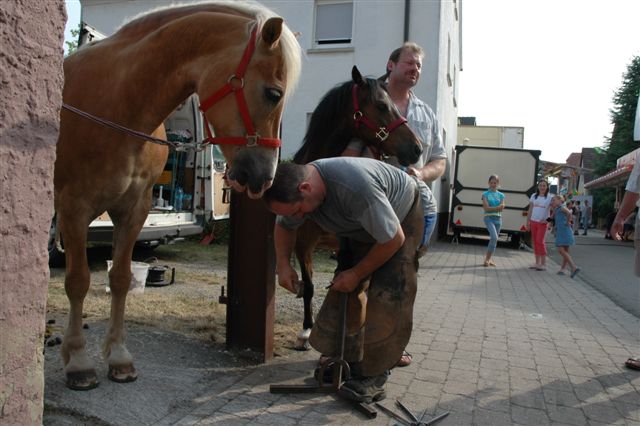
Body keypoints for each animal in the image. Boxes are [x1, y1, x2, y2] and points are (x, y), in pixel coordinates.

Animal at [56, 1, 302, 392]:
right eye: (273, 93)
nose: (264, 178)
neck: (117, 102)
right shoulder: (73, 209)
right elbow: (77, 281)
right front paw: (78, 360)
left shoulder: (135, 210)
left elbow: (121, 279)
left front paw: (119, 357)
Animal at [288, 65, 420, 350]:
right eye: (382, 105)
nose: (416, 148)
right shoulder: (303, 242)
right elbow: (309, 286)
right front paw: (305, 331)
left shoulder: (346, 242)